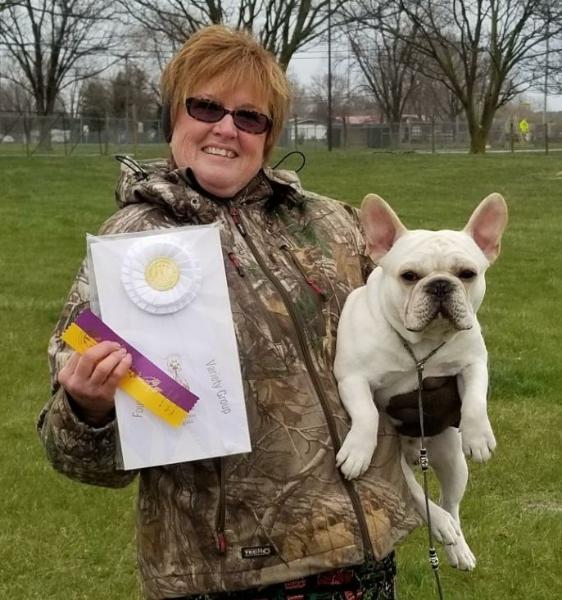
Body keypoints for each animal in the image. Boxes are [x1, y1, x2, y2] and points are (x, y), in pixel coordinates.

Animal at [334, 193, 508, 571]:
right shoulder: (353, 377)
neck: (421, 347)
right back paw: (440, 525)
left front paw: (479, 436)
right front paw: (357, 450)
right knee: (418, 496)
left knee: (451, 503)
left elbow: (475, 400)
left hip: (452, 459)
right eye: (409, 276)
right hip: (396, 464)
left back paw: (457, 545)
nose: (440, 284)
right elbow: (367, 414)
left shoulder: (474, 362)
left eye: (467, 274)